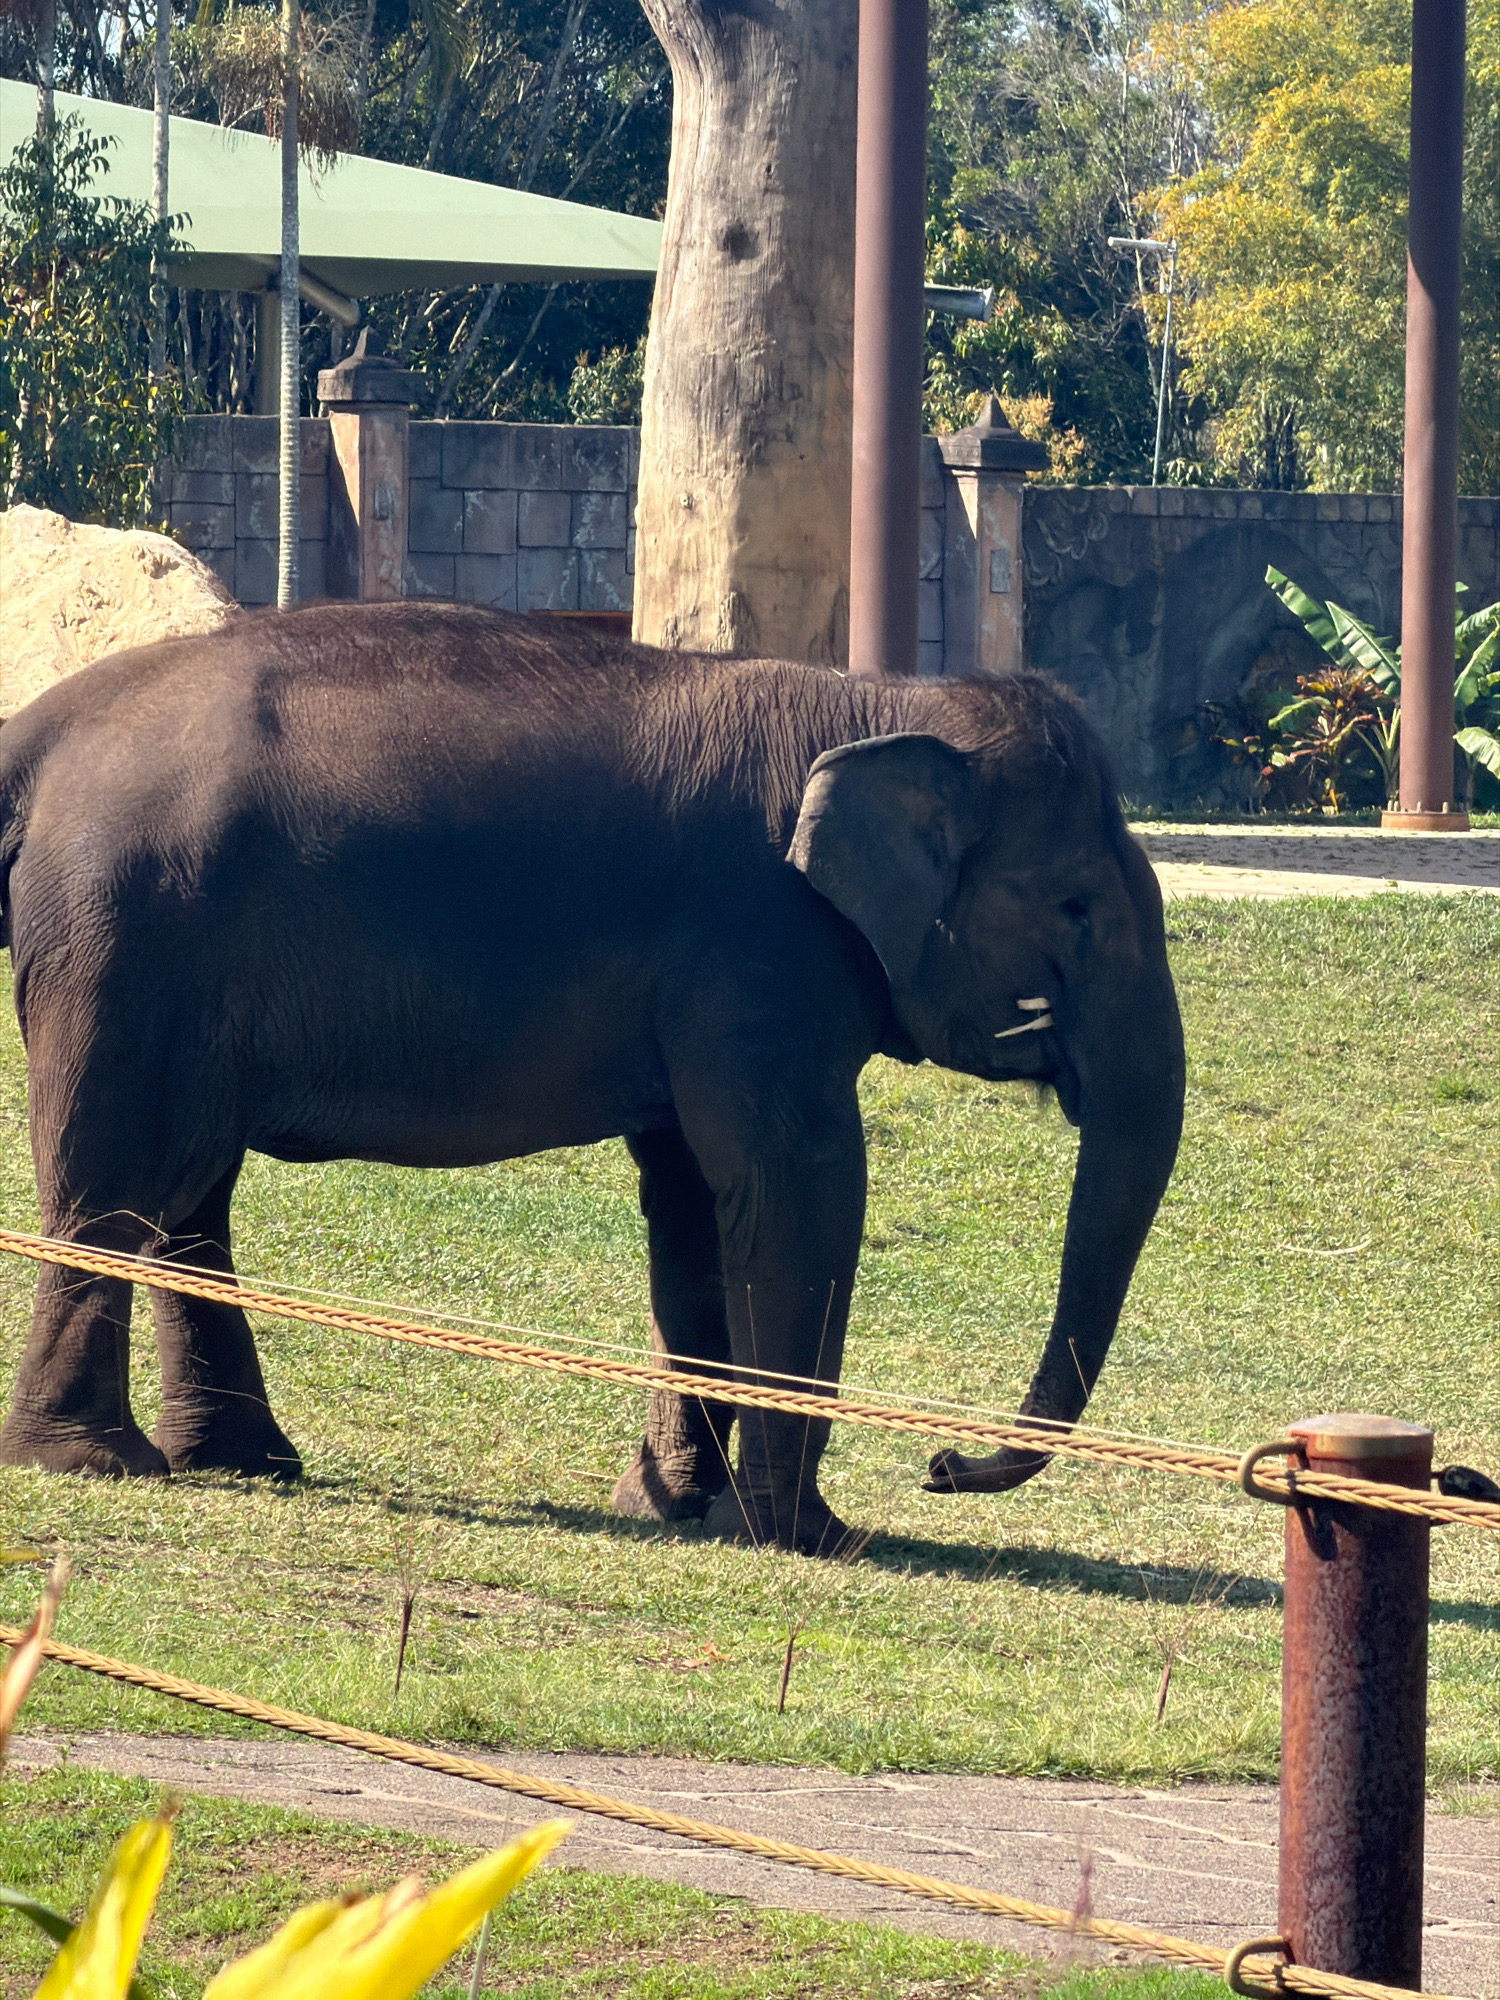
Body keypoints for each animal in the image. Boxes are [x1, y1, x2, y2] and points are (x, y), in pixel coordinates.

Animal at [0, 601, 1184, 1553]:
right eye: (1076, 907)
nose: (941, 1466)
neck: (881, 704)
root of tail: (41, 726)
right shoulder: (761, 947)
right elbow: (798, 1186)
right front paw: (809, 1536)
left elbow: (698, 1209)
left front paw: (675, 1508)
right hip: (130, 934)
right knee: (117, 1177)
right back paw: (92, 1460)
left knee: (187, 1191)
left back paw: (242, 1461)